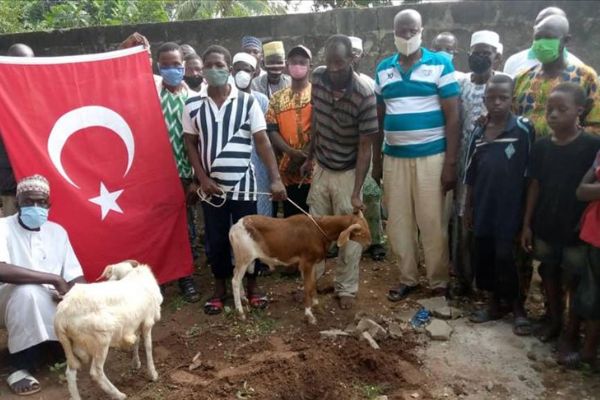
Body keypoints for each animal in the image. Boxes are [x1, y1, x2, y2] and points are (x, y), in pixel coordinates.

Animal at [54, 260, 163, 400]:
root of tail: (61, 315)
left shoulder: (135, 324)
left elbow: (136, 342)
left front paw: (136, 363)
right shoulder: (147, 322)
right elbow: (148, 348)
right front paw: (153, 374)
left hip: (75, 345)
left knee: (70, 373)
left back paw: (76, 396)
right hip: (100, 340)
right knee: (96, 372)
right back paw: (119, 394)